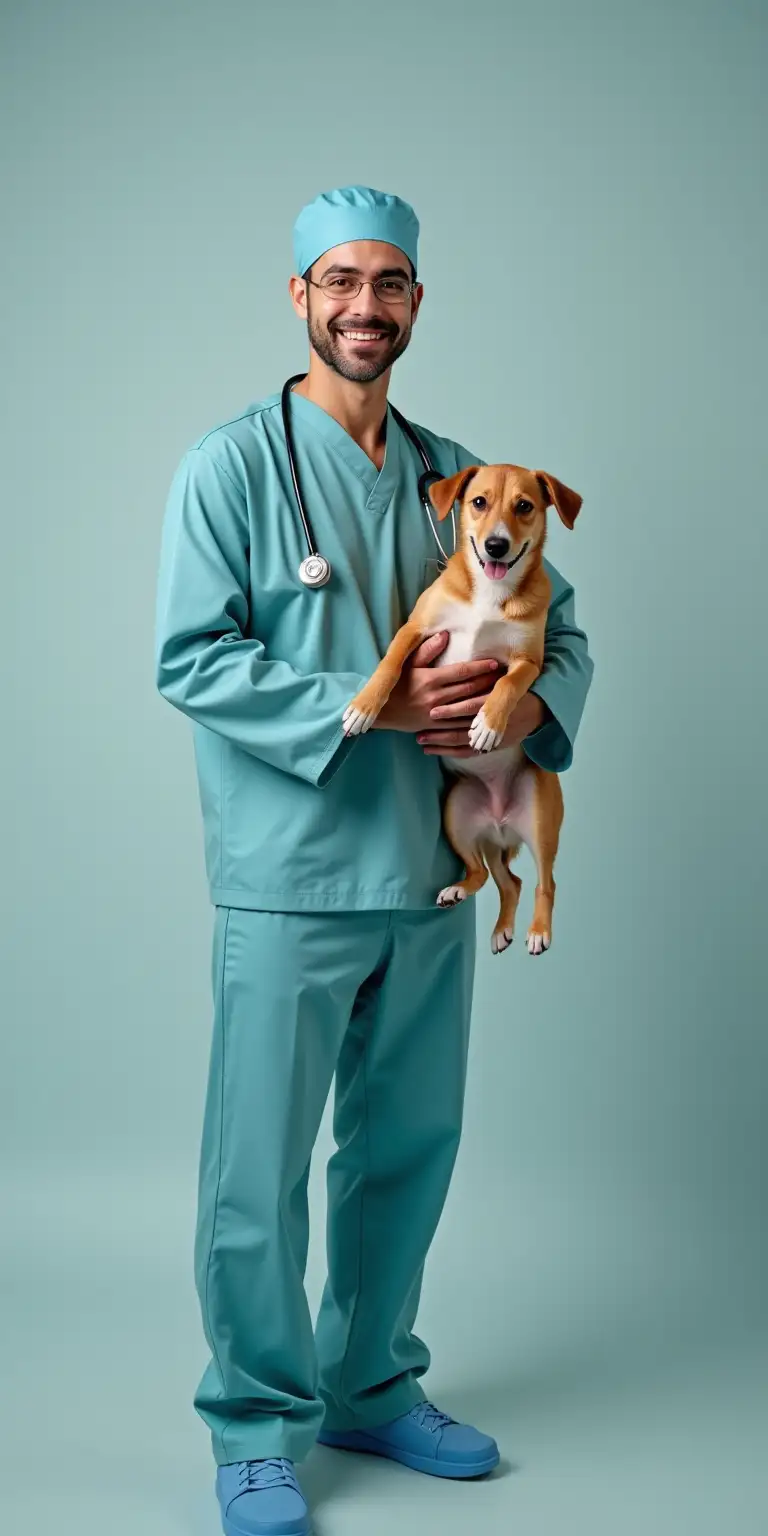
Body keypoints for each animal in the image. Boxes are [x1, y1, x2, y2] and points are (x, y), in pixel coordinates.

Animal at [342, 460, 580, 952]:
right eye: (479, 502)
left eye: (524, 507)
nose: (496, 545)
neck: (490, 593)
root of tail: (500, 822)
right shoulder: (416, 630)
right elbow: (389, 664)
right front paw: (364, 707)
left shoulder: (529, 661)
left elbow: (509, 684)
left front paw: (488, 724)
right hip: (457, 815)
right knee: (497, 878)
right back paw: (473, 904)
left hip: (540, 818)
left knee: (543, 882)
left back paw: (537, 930)